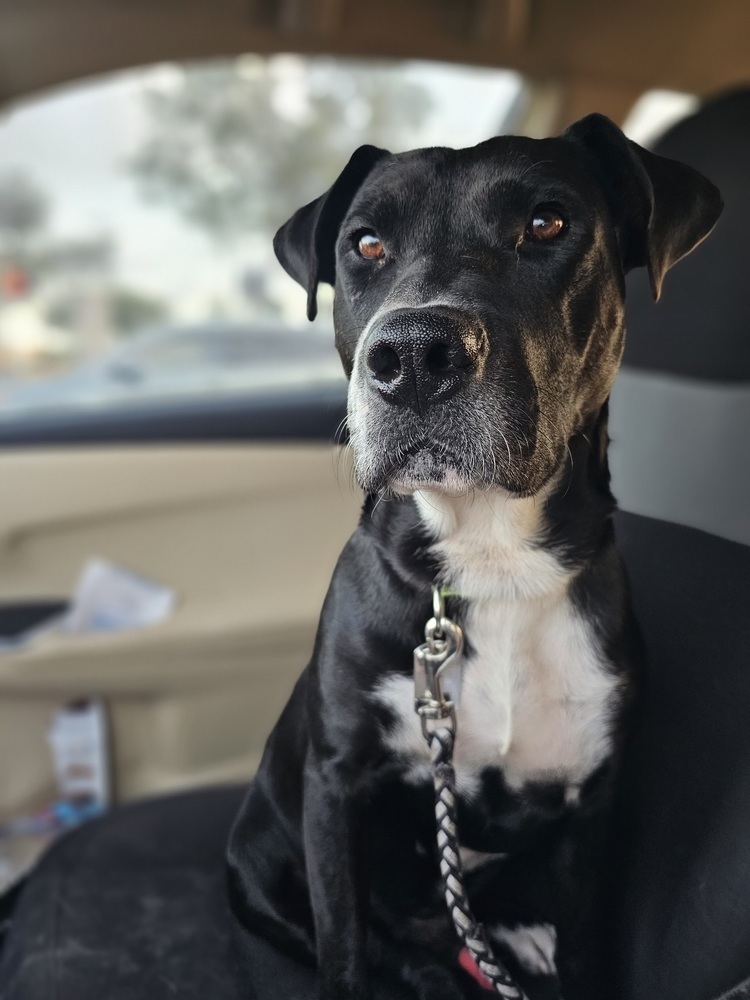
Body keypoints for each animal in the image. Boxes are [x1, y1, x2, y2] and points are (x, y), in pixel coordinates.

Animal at [228, 113, 724, 1000]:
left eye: (548, 222)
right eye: (366, 244)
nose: (413, 355)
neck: (491, 563)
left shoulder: (588, 811)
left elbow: (585, 945)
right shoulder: (334, 791)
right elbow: (345, 949)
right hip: (258, 865)